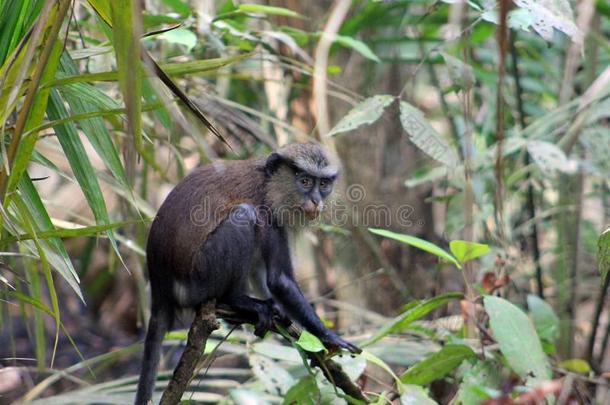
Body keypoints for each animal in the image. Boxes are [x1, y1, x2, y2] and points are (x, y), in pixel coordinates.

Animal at [135, 142, 358, 404]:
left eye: (323, 184)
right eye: (304, 181)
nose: (315, 200)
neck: (270, 182)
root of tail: (160, 287)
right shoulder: (268, 210)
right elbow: (280, 280)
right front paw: (330, 337)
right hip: (198, 279)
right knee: (244, 215)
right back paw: (236, 300)